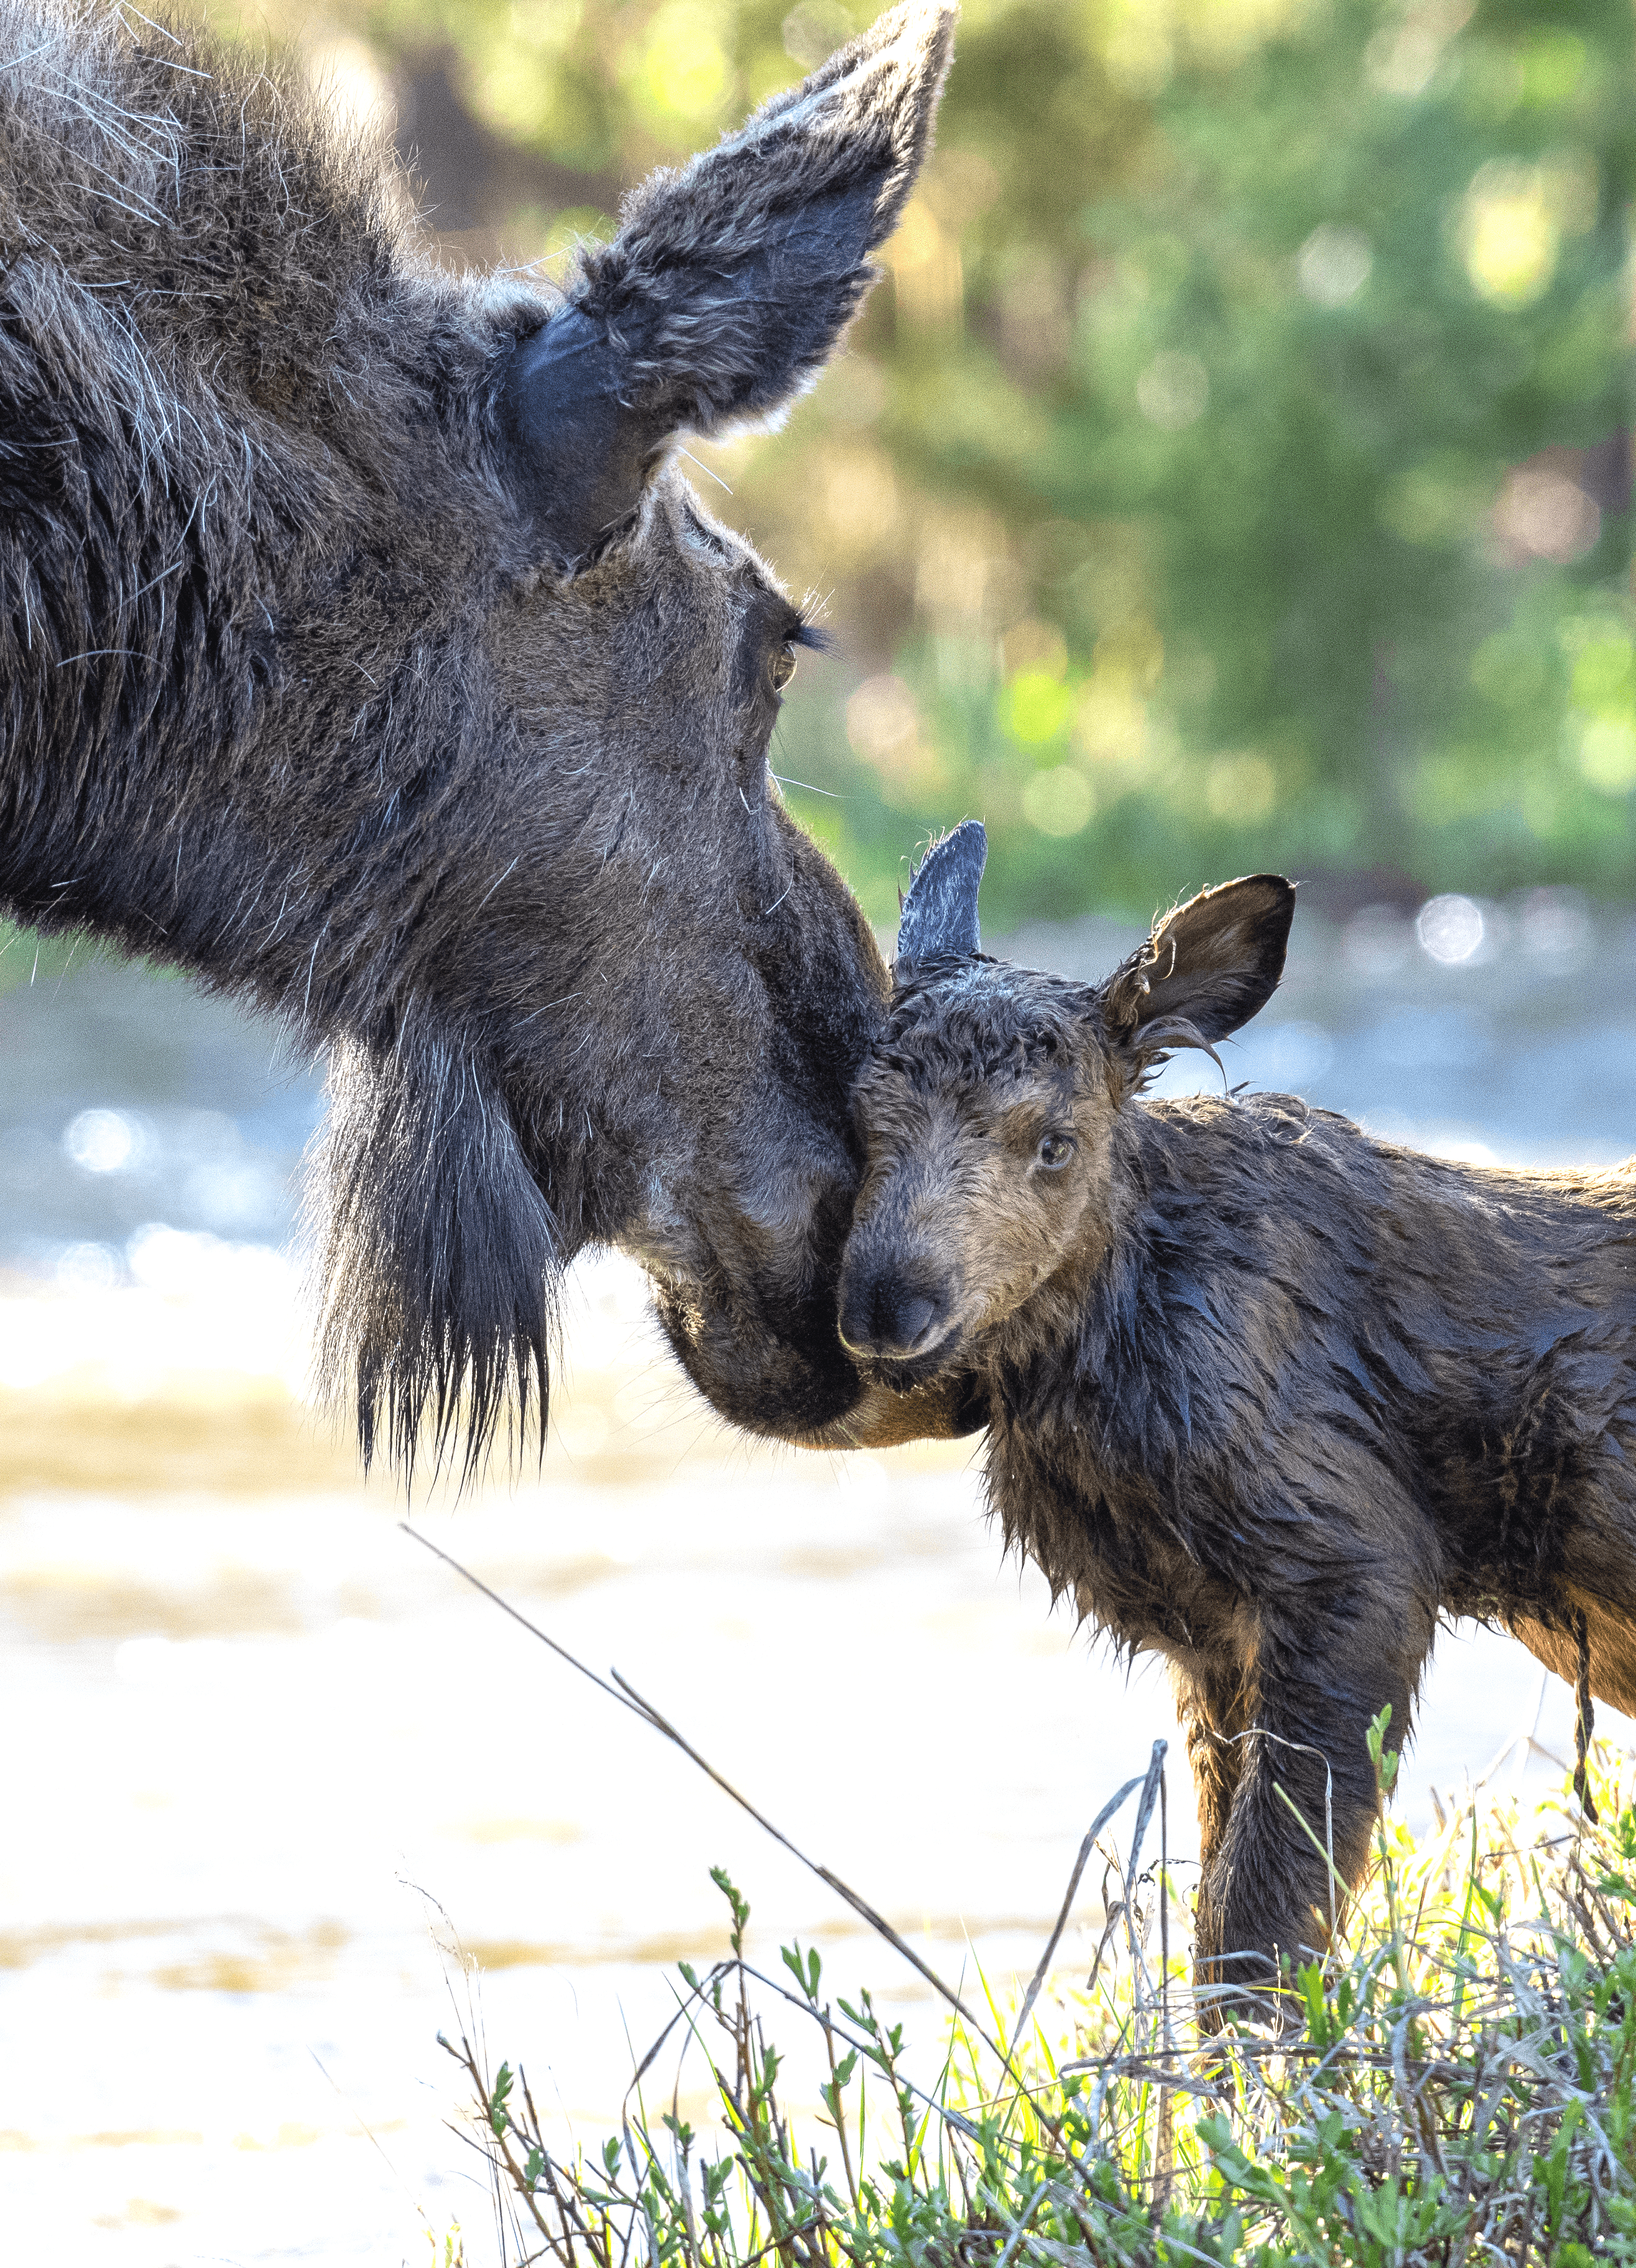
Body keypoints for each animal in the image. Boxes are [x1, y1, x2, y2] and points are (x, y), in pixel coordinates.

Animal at [838, 822, 1636, 2020]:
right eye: (858, 1119)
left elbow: (1261, 1915)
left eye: (1053, 1142)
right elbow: (1223, 1894)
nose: (885, 1305)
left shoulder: (1359, 1566)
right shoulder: (1208, 1635)